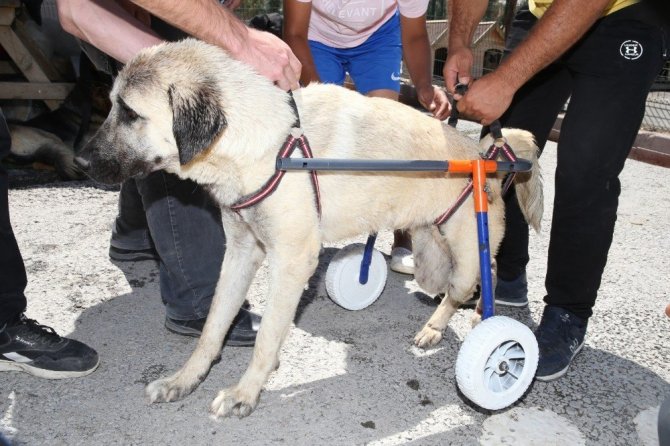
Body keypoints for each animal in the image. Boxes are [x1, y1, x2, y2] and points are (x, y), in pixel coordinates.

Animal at [76, 38, 544, 418]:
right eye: (113, 105)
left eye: (130, 113)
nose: (79, 162)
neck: (268, 143)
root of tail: (487, 155)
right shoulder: (241, 253)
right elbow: (212, 328)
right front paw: (185, 379)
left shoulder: (292, 261)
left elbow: (267, 337)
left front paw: (245, 392)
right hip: (430, 246)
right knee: (461, 276)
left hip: (464, 251)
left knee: (470, 280)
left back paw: (459, 328)